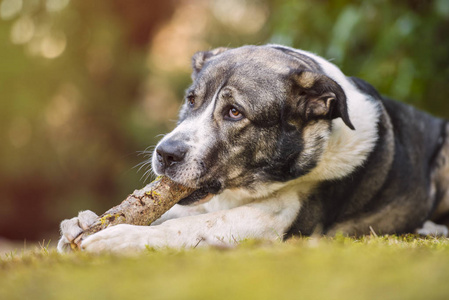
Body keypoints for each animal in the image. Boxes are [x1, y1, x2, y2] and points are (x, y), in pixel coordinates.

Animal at [57, 43, 448, 252]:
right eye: (191, 100)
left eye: (234, 112)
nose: (166, 154)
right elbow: (175, 214)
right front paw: (84, 222)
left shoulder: (272, 220)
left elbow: (187, 226)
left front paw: (119, 238)